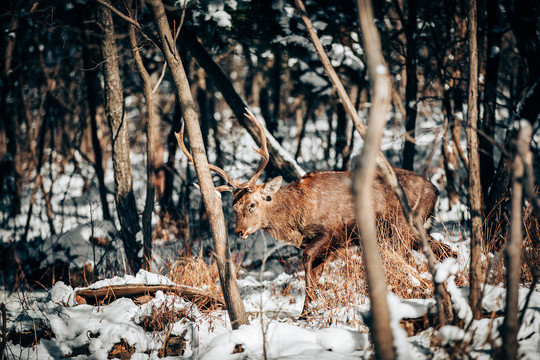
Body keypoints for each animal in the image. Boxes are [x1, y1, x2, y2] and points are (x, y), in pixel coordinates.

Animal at [176, 109, 452, 316]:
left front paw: (309, 308)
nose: (238, 231)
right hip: (413, 230)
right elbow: (314, 271)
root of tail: (436, 190)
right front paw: (308, 309)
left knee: (413, 260)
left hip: (401, 229)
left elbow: (307, 261)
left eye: (252, 204)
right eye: (234, 208)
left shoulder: (330, 232)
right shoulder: (329, 247)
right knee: (445, 249)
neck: (298, 216)